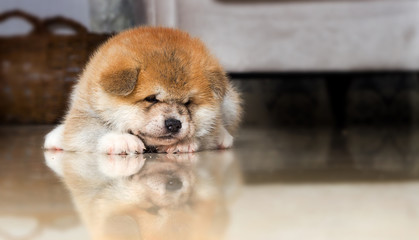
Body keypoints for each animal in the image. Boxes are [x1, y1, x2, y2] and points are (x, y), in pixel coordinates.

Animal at [44, 26, 241, 154]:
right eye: (151, 98)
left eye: (188, 102)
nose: (174, 124)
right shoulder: (83, 114)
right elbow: (94, 130)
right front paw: (121, 139)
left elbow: (206, 133)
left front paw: (185, 142)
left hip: (230, 104)